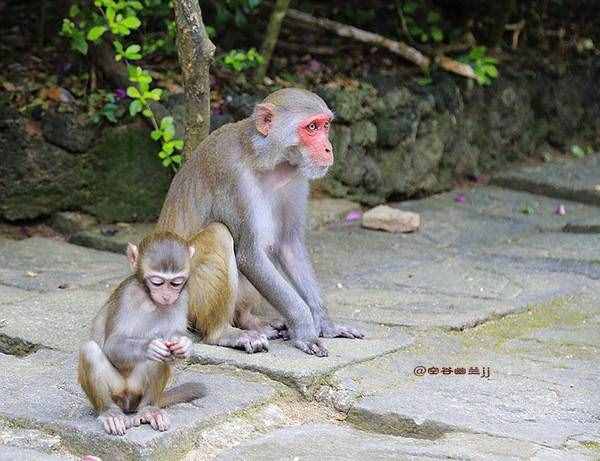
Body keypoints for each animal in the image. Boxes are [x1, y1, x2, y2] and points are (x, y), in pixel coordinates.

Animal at [78, 230, 204, 434]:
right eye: (157, 282)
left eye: (176, 283)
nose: (167, 296)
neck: (149, 299)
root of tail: (128, 402)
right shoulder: (126, 295)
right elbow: (113, 344)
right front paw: (150, 347)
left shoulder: (183, 296)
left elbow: (174, 334)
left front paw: (184, 345)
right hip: (116, 390)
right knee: (89, 350)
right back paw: (110, 412)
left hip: (138, 390)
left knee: (163, 357)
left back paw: (149, 409)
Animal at [157, 89, 364, 356]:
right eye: (312, 127)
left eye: (325, 125)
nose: (328, 148)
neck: (268, 161)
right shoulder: (233, 176)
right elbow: (250, 255)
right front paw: (305, 330)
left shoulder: (296, 178)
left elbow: (288, 246)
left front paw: (326, 324)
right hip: (182, 299)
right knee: (219, 234)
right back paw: (223, 333)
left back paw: (250, 321)